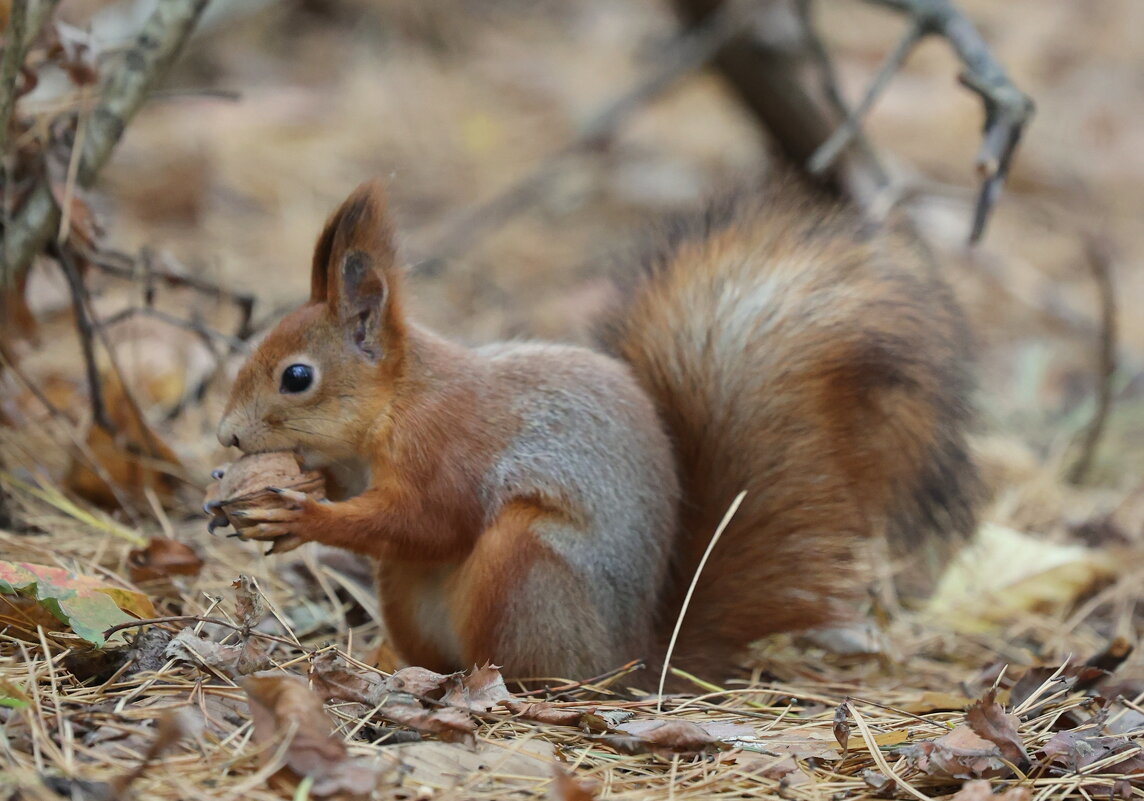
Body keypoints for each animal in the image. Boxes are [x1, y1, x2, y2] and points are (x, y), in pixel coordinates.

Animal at [212, 176, 974, 681]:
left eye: (297, 377)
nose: (225, 436)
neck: (396, 405)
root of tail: (633, 658)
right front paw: (282, 491)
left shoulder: (449, 444)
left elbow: (430, 519)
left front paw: (303, 514)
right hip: (407, 588)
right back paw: (390, 659)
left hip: (527, 563)